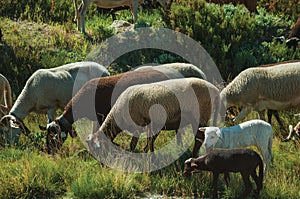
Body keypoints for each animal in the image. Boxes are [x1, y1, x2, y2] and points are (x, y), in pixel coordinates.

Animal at [87, 77, 220, 156]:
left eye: (96, 149)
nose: (101, 165)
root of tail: (215, 90)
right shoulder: (151, 125)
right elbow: (150, 142)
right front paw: (149, 154)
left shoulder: (138, 124)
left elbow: (133, 144)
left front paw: (133, 155)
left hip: (200, 115)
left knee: (199, 139)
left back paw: (193, 155)